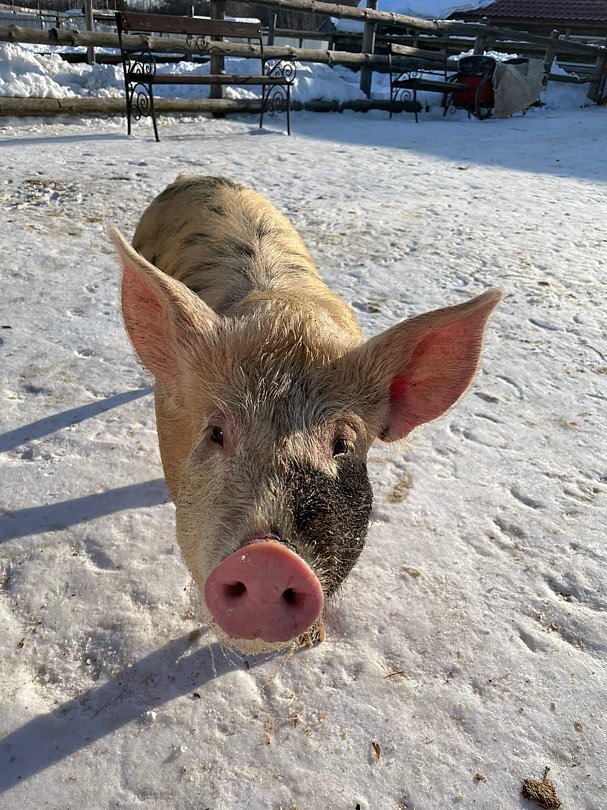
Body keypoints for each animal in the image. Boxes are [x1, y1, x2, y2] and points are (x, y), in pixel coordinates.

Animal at [111, 175, 501, 655]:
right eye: (216, 432)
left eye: (342, 445)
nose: (267, 560)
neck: (284, 314)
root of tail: (190, 178)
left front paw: (314, 642)